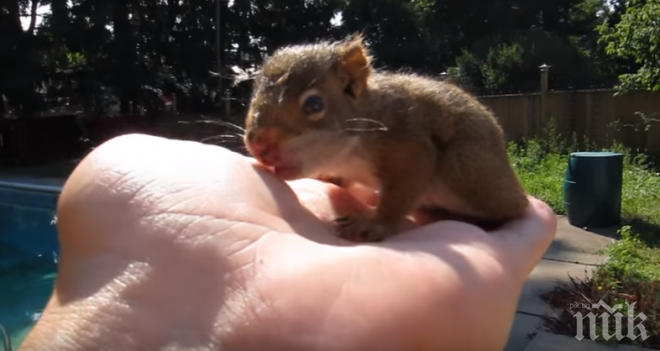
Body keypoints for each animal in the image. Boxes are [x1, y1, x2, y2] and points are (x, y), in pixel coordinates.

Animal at [244, 34, 532, 243]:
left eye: (314, 104)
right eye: (253, 95)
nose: (258, 144)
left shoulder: (410, 147)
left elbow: (399, 195)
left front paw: (372, 224)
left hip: (465, 170)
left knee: (512, 209)